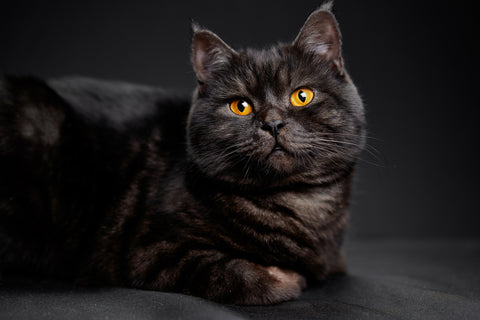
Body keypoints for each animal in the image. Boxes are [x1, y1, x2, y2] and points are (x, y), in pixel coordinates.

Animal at [0, 1, 364, 304]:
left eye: (302, 96)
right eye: (241, 106)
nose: (272, 123)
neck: (300, 203)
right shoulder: (150, 251)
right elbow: (240, 274)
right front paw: (284, 277)